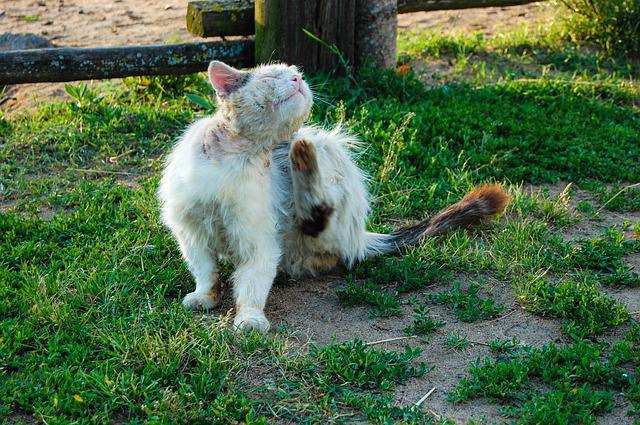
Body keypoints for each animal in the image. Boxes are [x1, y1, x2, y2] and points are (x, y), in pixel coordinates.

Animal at [158, 60, 508, 332]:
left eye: (295, 73)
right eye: (272, 77)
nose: (298, 79)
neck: (239, 156)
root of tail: (361, 236)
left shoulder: (259, 242)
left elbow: (252, 285)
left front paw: (250, 319)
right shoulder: (191, 233)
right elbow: (206, 271)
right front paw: (204, 297)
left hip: (327, 148)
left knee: (321, 215)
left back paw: (302, 159)